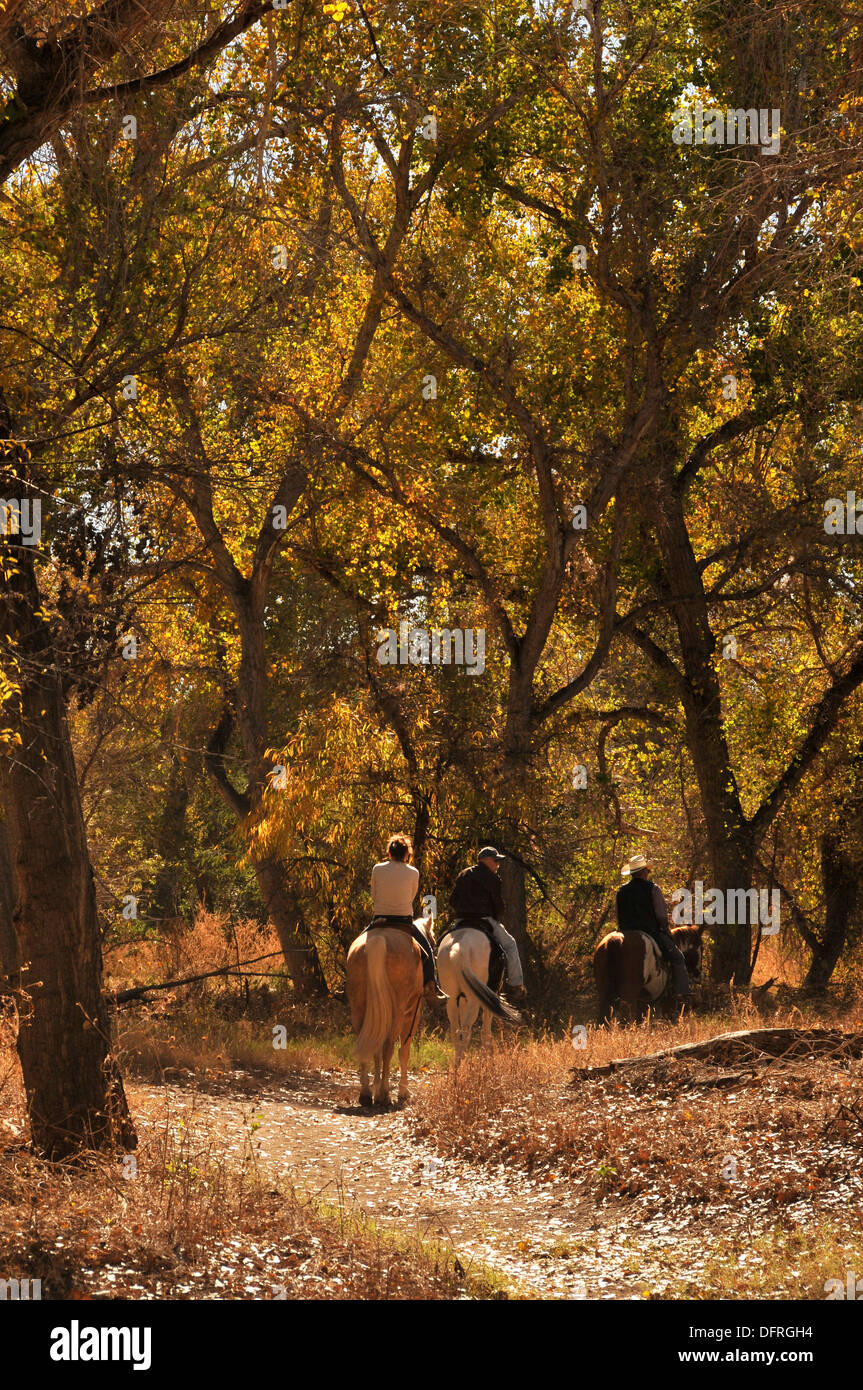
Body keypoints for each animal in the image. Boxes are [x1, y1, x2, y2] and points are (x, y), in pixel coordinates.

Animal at [344, 911, 433, 1106]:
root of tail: (378, 940)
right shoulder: (412, 1013)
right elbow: (404, 1052)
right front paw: (403, 1092)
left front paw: (376, 1086)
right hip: (398, 1012)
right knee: (388, 1048)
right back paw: (384, 1094)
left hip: (359, 1009)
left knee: (368, 1043)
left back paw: (366, 1093)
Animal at [433, 928, 522, 1067]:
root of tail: (460, 945)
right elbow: (486, 1031)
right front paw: (489, 1061)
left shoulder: (463, 999)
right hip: (475, 1000)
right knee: (464, 1031)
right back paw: (460, 1065)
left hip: (452, 998)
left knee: (456, 1031)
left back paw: (457, 1064)